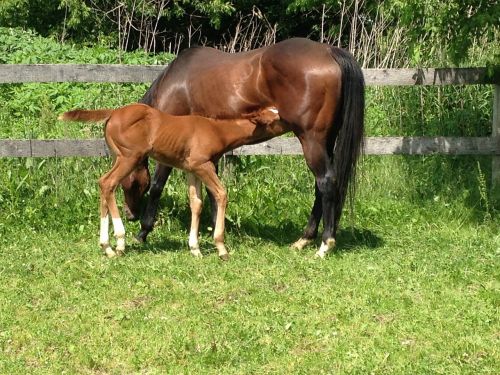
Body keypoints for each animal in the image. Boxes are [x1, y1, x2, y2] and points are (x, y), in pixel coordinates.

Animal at [59, 103, 286, 262]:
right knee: (108, 183)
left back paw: (106, 247)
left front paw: (195, 249)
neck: (218, 130)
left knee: (104, 185)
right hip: (129, 157)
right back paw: (120, 242)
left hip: (118, 157)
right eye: (276, 117)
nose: (291, 120)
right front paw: (221, 248)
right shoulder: (203, 165)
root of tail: (114, 112)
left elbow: (196, 203)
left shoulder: (191, 169)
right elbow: (221, 194)